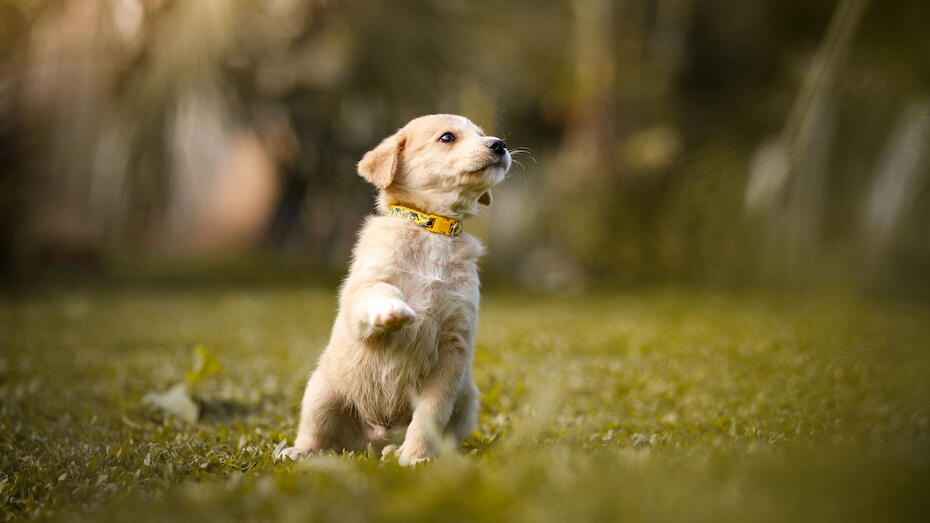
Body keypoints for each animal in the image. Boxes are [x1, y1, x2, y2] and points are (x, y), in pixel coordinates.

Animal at [280, 115, 508, 466]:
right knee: (316, 434)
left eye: (482, 135)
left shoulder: (454, 345)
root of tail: (373, 438)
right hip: (320, 393)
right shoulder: (363, 288)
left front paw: (415, 458)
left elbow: (429, 415)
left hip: (467, 402)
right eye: (447, 137)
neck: (432, 230)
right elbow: (381, 290)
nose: (500, 145)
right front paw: (394, 311)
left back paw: (396, 451)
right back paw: (297, 451)